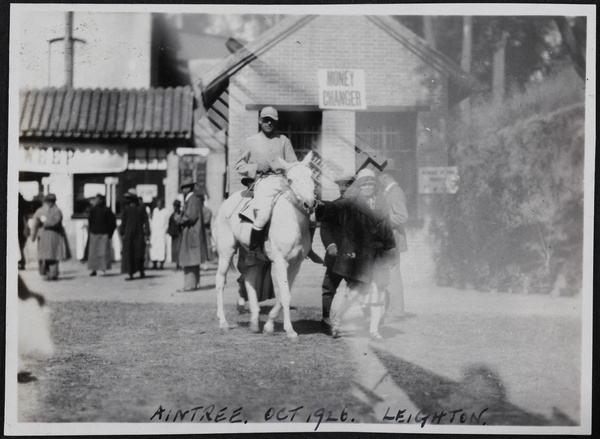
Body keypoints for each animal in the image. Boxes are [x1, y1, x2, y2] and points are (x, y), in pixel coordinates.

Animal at [216, 154, 318, 340]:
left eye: (311, 177)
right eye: (290, 180)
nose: (309, 203)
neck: (291, 220)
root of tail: (227, 201)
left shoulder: (295, 264)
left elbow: (284, 294)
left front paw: (269, 326)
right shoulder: (280, 262)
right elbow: (285, 295)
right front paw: (290, 331)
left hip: (250, 255)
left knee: (249, 278)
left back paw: (255, 321)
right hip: (226, 251)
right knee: (220, 281)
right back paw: (223, 323)